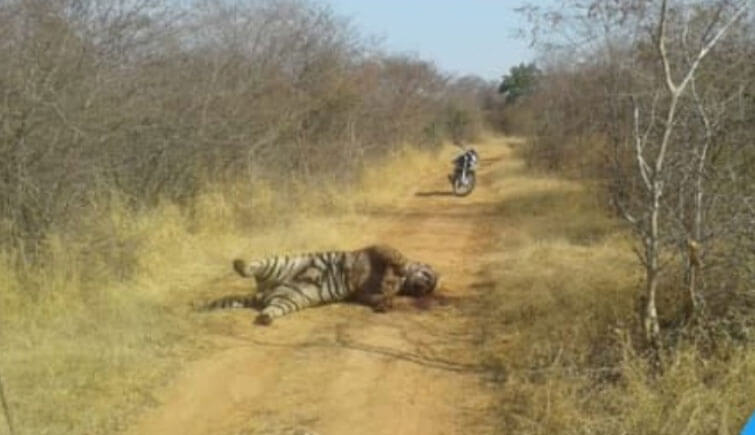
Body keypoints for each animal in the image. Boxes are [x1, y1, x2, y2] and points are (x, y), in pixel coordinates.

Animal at [210, 244, 440, 326]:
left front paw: (386, 301)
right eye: (429, 278)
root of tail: (265, 292)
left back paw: (264, 319)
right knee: (254, 266)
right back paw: (239, 264)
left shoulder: (364, 293)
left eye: (429, 288)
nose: (424, 288)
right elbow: (394, 256)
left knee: (271, 309)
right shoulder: (377, 252)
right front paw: (396, 271)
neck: (404, 282)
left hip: (290, 299)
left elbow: (381, 294)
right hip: (280, 263)